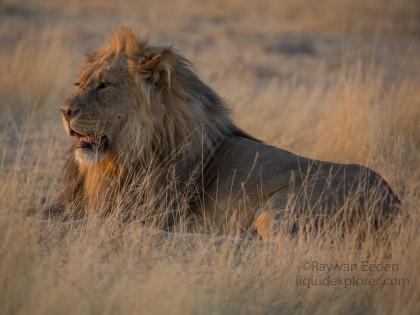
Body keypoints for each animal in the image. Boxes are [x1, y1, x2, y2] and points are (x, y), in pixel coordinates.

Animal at [43, 27, 400, 239]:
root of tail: (394, 204)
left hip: (278, 212)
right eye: (79, 83)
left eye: (104, 85)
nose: (64, 111)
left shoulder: (145, 213)